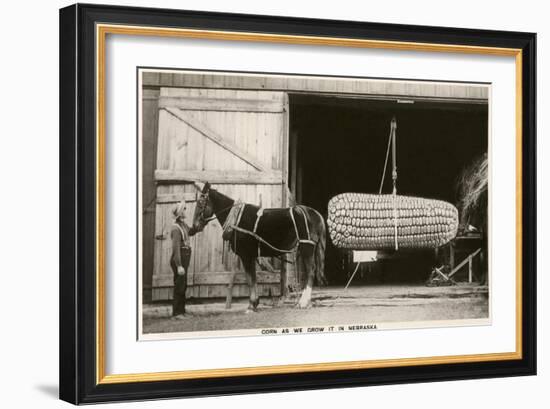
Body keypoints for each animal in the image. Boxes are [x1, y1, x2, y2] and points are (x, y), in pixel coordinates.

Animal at [193, 182, 328, 310]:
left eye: (200, 203)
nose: (193, 227)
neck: (236, 218)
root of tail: (315, 213)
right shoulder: (251, 256)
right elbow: (252, 278)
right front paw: (255, 303)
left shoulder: (246, 255)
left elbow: (250, 279)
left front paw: (251, 304)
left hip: (307, 247)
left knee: (311, 271)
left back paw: (303, 302)